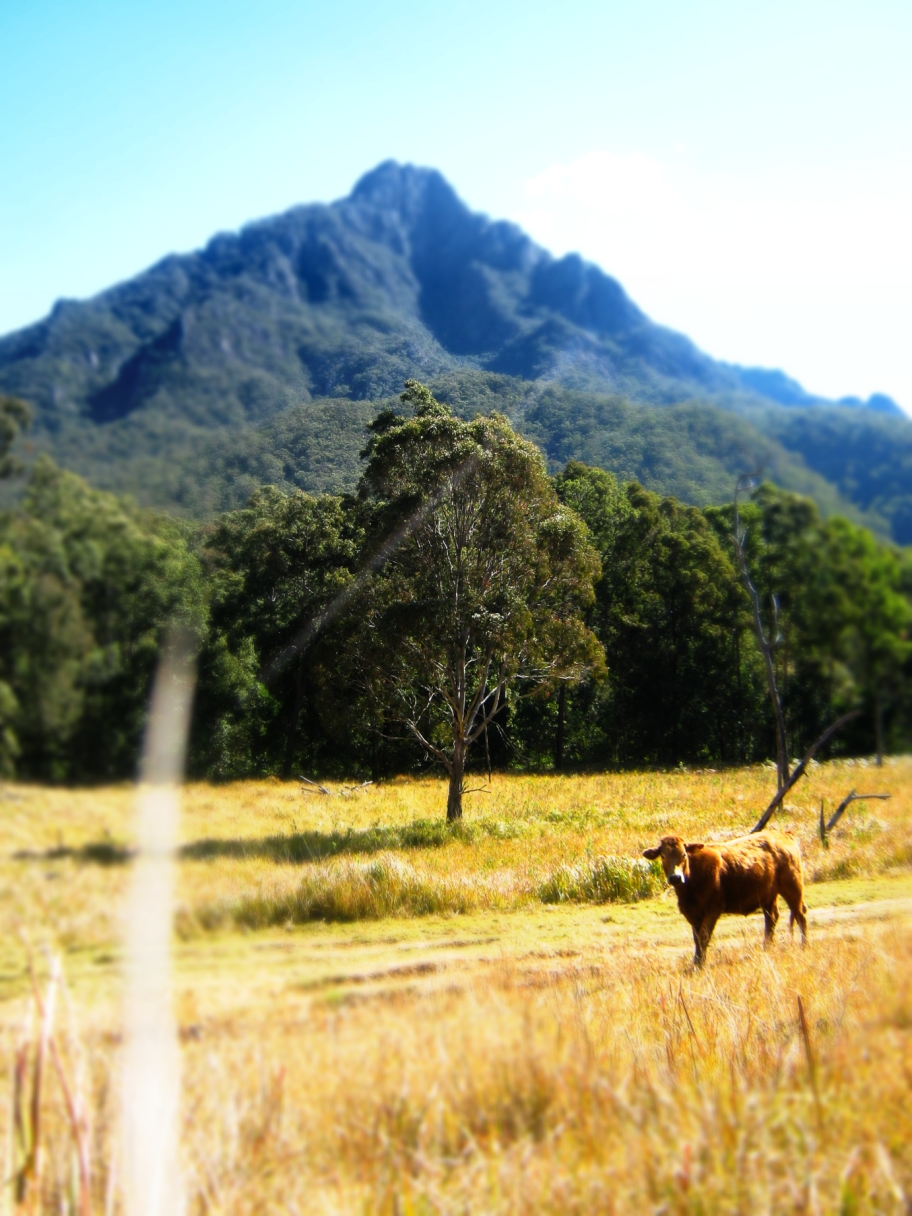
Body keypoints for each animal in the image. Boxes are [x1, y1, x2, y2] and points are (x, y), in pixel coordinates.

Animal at [646, 831, 812, 963]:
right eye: (663, 856)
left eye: (684, 855)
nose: (675, 877)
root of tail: (783, 834)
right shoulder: (693, 914)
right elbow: (697, 939)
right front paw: (696, 962)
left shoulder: (712, 910)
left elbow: (703, 937)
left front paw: (699, 965)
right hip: (768, 896)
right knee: (771, 918)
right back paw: (766, 948)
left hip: (793, 887)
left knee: (800, 914)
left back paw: (804, 946)